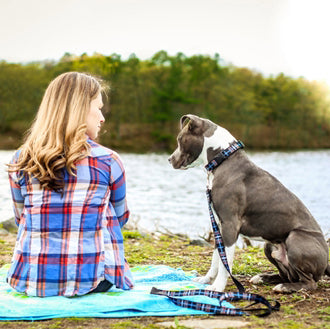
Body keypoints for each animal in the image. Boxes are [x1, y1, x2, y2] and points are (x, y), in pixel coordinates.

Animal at [169, 114, 328, 290]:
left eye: (179, 139)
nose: (169, 159)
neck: (223, 159)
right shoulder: (219, 226)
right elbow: (216, 258)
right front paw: (206, 280)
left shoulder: (230, 226)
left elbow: (225, 263)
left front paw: (217, 287)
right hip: (269, 245)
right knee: (287, 275)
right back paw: (264, 278)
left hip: (295, 238)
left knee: (309, 282)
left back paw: (285, 288)